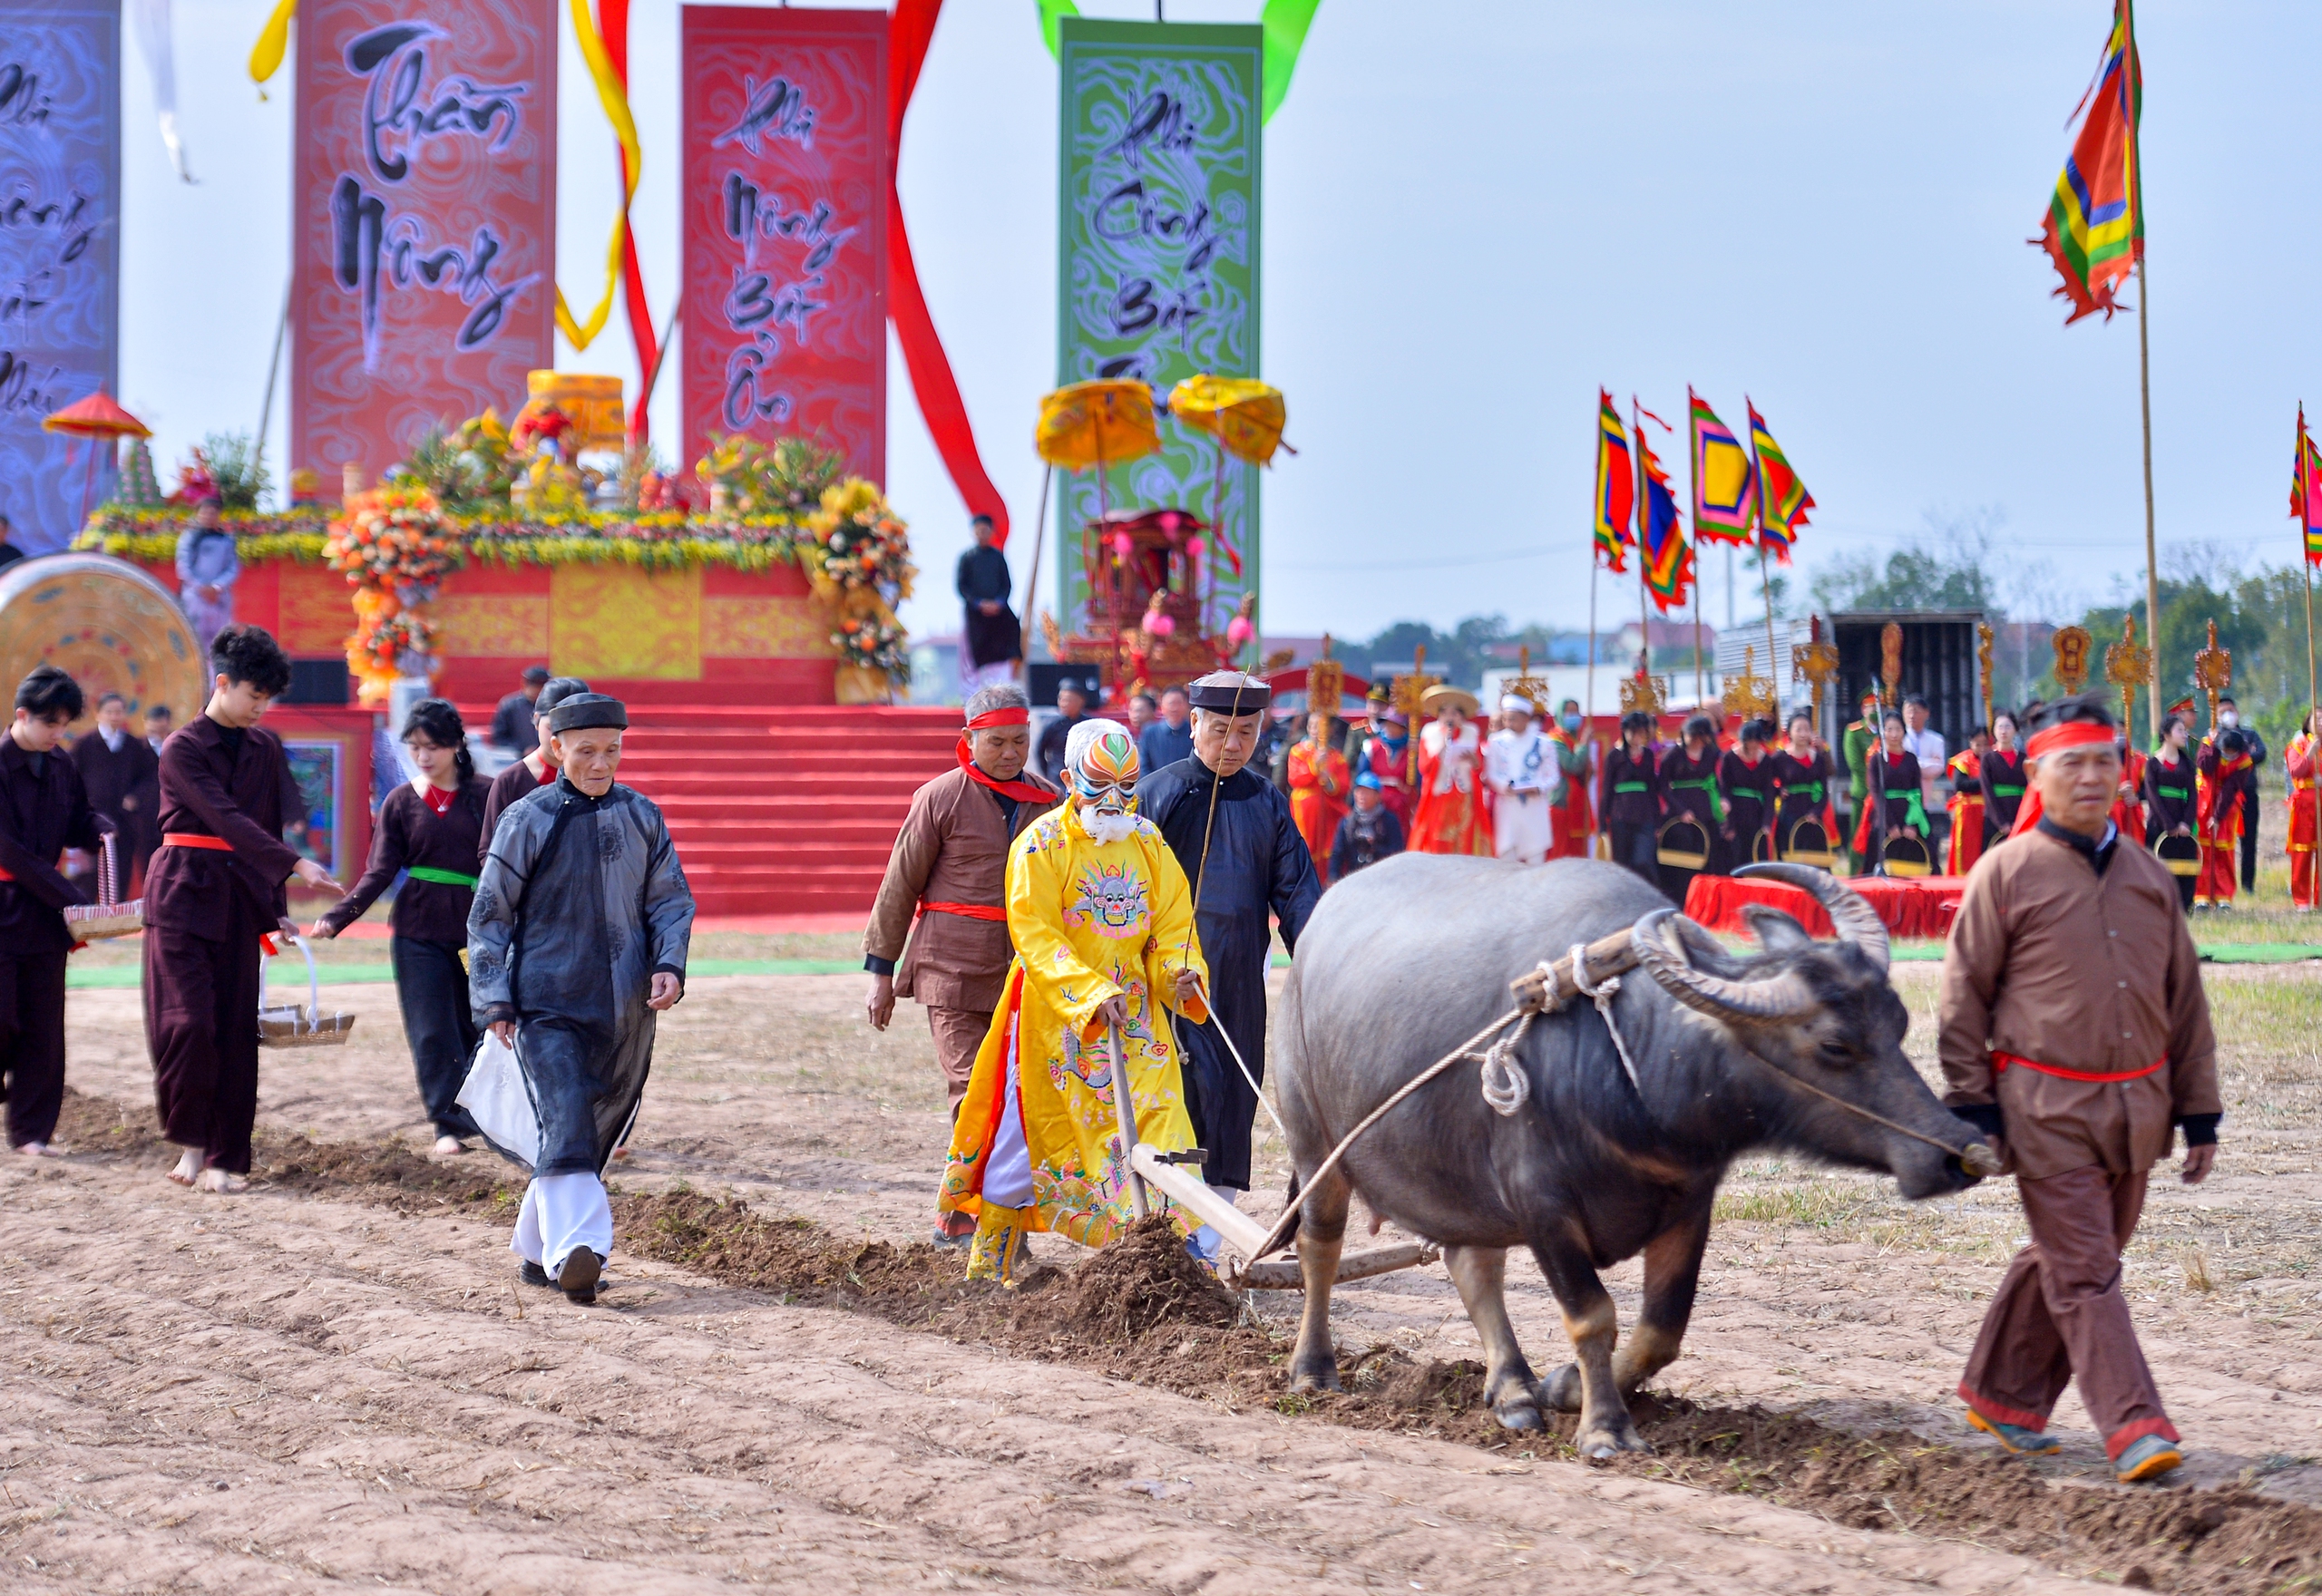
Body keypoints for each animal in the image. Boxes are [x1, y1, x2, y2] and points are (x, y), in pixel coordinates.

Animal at [1282, 858, 1987, 1456]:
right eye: (1835, 1045)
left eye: (1898, 1021)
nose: (1957, 1153)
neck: (1635, 1068)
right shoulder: (1543, 1208)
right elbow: (1594, 1316)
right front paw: (1605, 1430)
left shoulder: (1688, 1205)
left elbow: (1660, 1332)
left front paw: (1565, 1388)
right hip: (1315, 1146)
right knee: (1322, 1248)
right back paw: (1314, 1371)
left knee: (1472, 1263)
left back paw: (1513, 1390)